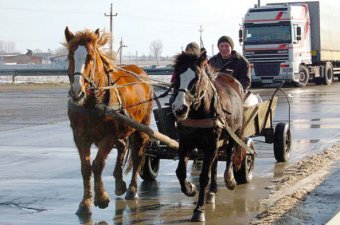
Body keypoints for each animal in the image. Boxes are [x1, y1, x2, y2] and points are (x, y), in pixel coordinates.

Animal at [64, 26, 154, 216]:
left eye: (90, 57)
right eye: (69, 56)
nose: (77, 92)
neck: (92, 103)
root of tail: (141, 72)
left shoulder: (108, 136)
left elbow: (98, 165)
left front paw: (101, 198)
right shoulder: (79, 136)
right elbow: (85, 168)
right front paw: (85, 203)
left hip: (142, 126)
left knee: (137, 155)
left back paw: (132, 189)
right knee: (122, 146)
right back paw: (120, 183)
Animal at [173, 50, 244, 221]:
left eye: (196, 77)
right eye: (177, 76)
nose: (179, 109)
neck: (199, 112)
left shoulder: (211, 143)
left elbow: (204, 176)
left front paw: (199, 209)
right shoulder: (185, 142)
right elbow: (180, 172)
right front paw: (190, 188)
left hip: (235, 131)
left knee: (231, 152)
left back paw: (229, 179)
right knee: (216, 161)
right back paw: (212, 191)